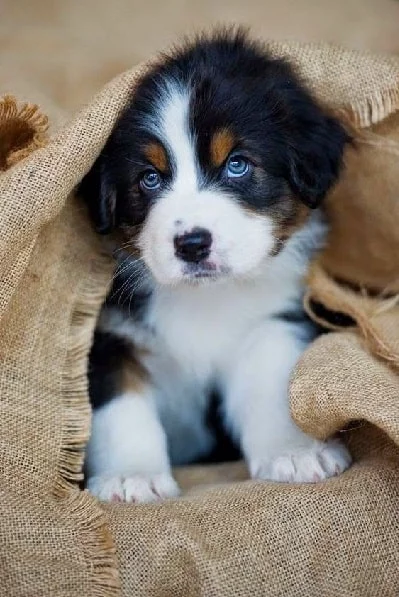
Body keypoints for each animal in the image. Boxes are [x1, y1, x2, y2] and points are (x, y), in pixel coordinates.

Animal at [81, 29, 354, 502]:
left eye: (237, 164)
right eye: (149, 178)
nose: (192, 244)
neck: (206, 300)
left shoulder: (274, 320)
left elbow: (272, 385)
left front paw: (296, 451)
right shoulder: (111, 335)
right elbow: (122, 407)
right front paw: (131, 476)